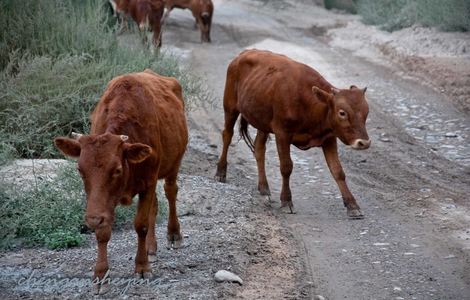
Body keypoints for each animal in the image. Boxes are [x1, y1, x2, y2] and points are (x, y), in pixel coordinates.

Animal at [53, 69, 189, 294]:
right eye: (80, 170)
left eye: (116, 170)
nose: (91, 219)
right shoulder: (102, 201)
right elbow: (103, 231)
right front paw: (101, 275)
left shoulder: (148, 182)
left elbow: (141, 224)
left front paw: (142, 267)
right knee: (155, 205)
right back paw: (151, 248)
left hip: (174, 164)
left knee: (171, 192)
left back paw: (174, 235)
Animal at [216, 49, 370, 218]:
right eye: (342, 113)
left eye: (366, 112)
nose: (364, 143)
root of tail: (245, 53)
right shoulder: (282, 133)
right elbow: (286, 167)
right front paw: (286, 201)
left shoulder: (329, 137)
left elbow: (338, 171)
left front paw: (352, 205)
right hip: (230, 106)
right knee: (227, 135)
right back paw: (221, 172)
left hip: (263, 121)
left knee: (259, 148)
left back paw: (264, 189)